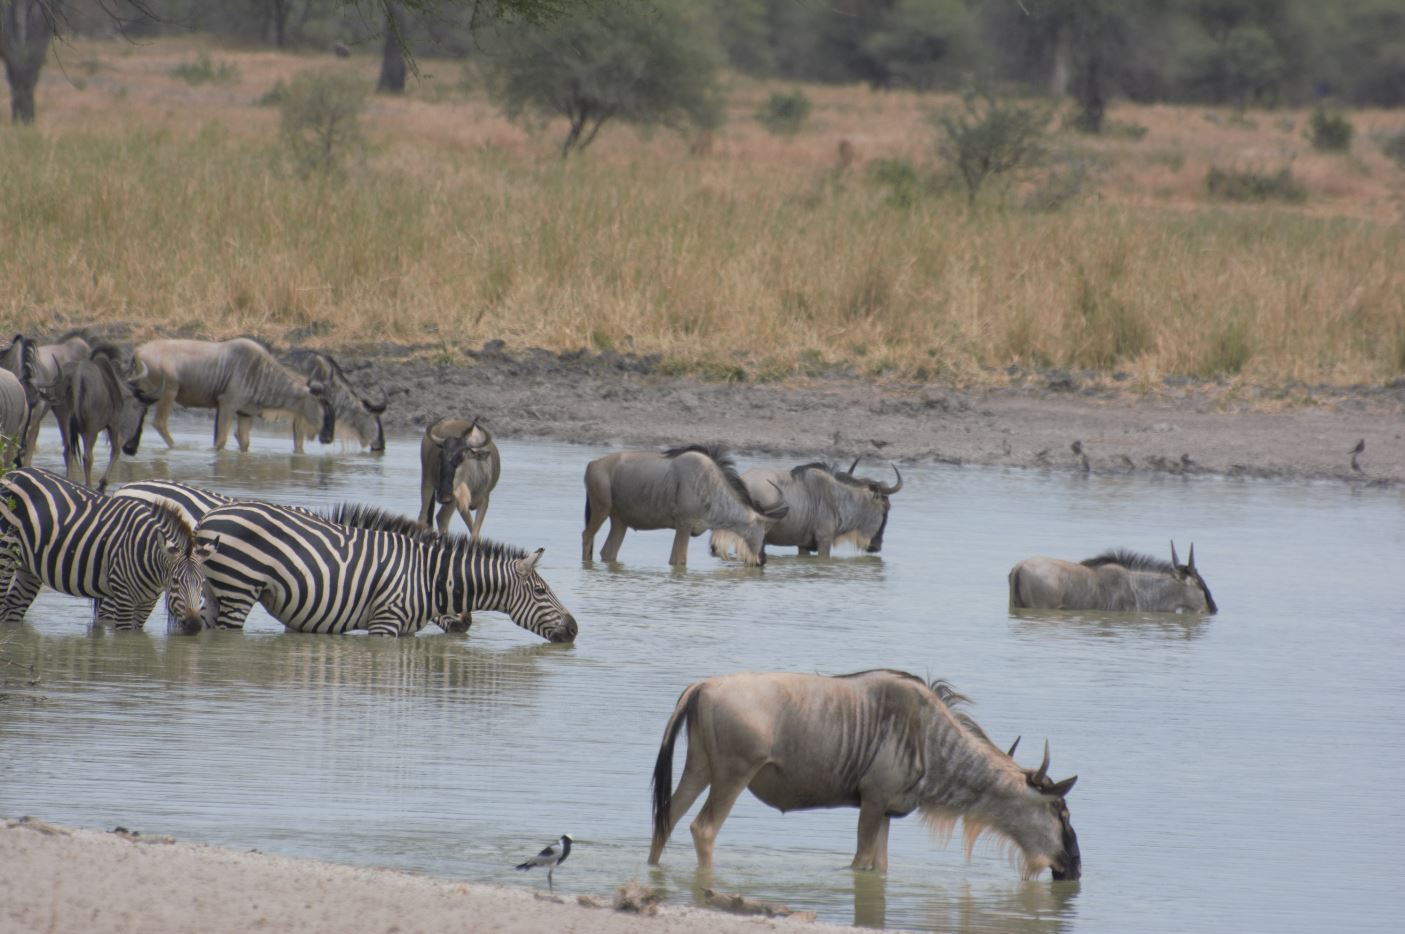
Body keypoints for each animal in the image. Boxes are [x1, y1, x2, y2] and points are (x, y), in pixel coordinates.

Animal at [0, 467, 216, 632]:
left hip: (28, 566)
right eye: (175, 582)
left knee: (11, 609)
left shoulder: (146, 603)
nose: (195, 626)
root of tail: (12, 473)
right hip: (5, 556)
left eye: (202, 583)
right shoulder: (123, 597)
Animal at [193, 500, 578, 641]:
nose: (574, 629)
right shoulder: (386, 622)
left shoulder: (404, 631)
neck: (428, 578)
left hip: (215, 593)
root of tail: (209, 517)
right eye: (541, 592)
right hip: (238, 588)